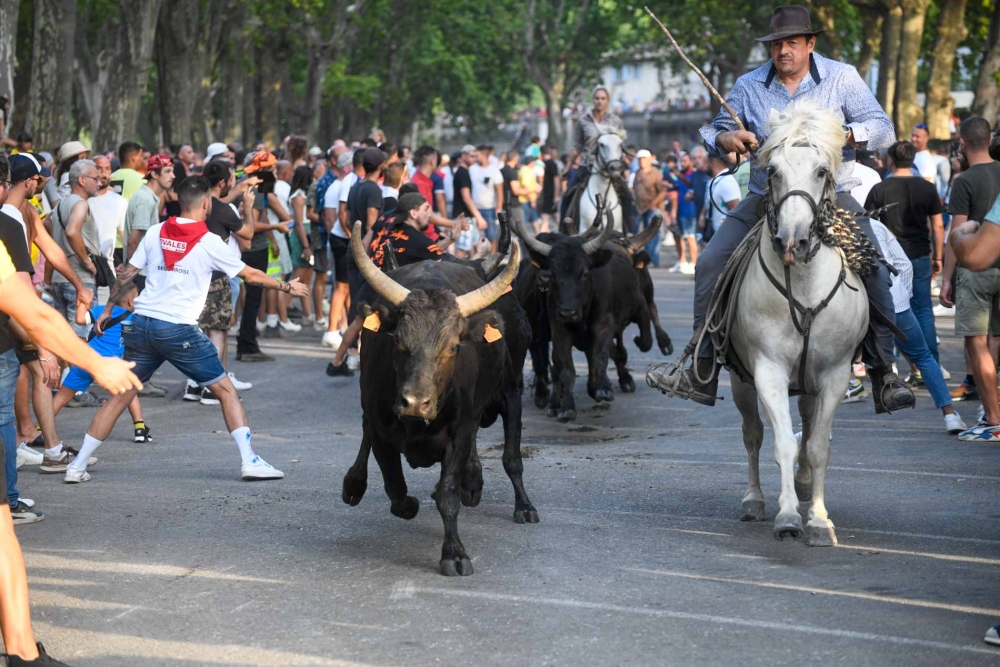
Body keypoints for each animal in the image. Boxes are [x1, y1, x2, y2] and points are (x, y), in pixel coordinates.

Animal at [512, 213, 668, 422]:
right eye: (553, 274)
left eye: (585, 273)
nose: (568, 312)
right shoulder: (558, 332)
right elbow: (565, 369)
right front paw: (566, 407)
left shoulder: (605, 325)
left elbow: (603, 354)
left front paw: (603, 389)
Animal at [728, 99, 868, 548]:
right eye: (773, 171)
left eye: (822, 170)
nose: (792, 242)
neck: (804, 289)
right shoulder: (767, 368)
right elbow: (781, 444)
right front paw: (788, 516)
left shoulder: (836, 372)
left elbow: (818, 446)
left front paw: (819, 520)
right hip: (739, 377)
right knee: (752, 433)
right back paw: (753, 500)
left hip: (810, 379)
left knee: (806, 424)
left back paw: (806, 486)